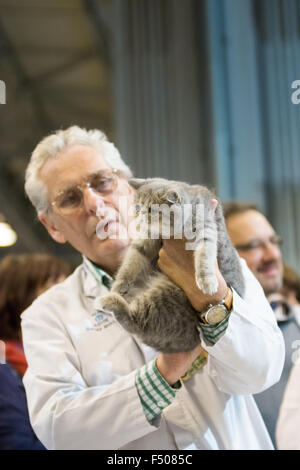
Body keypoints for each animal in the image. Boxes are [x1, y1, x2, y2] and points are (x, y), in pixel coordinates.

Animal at [97, 177, 245, 352]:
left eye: (151, 210)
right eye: (138, 207)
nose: (139, 219)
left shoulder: (206, 228)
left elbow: (204, 254)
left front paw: (207, 282)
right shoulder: (147, 240)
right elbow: (130, 262)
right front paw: (118, 286)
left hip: (166, 297)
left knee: (135, 321)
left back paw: (109, 301)